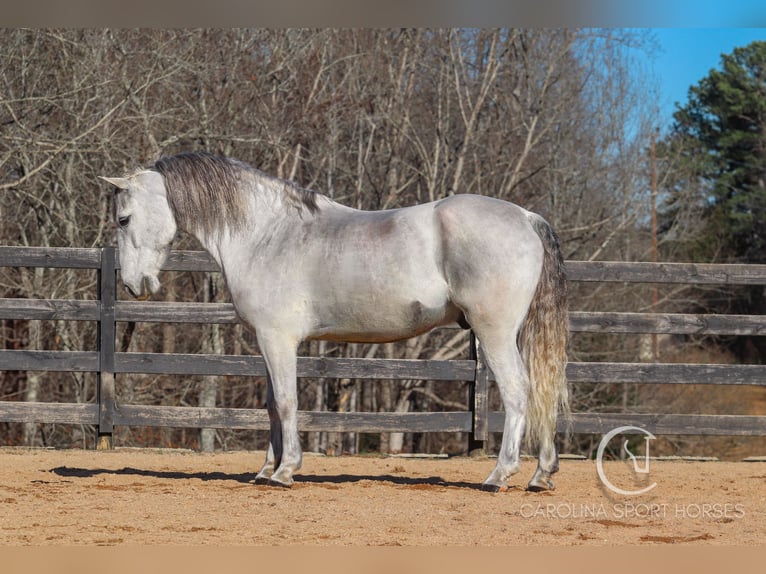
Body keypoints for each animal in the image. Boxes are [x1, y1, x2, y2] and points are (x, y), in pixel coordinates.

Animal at [102, 153, 568, 496]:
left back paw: (499, 475)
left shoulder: (278, 340)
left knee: (518, 392)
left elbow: (287, 402)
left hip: (494, 334)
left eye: (123, 219)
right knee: (541, 390)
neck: (266, 234)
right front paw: (264, 470)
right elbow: (271, 405)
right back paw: (541, 475)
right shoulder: (267, 342)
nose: (132, 285)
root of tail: (526, 217)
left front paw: (285, 471)